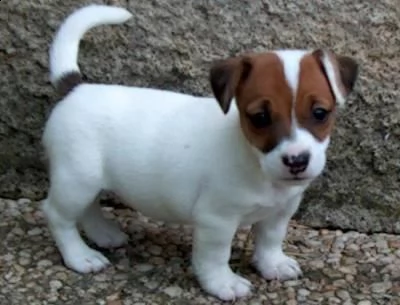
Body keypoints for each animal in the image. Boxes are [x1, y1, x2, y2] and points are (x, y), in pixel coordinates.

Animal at [41, 3, 360, 300]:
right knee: (58, 215)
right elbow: (216, 255)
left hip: (87, 181)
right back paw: (79, 256)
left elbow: (270, 239)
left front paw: (272, 264)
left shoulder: (281, 211)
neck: (255, 162)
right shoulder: (216, 219)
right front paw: (223, 283)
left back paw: (104, 234)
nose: (296, 161)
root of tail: (76, 89)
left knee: (89, 208)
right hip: (76, 179)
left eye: (320, 113)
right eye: (260, 118)